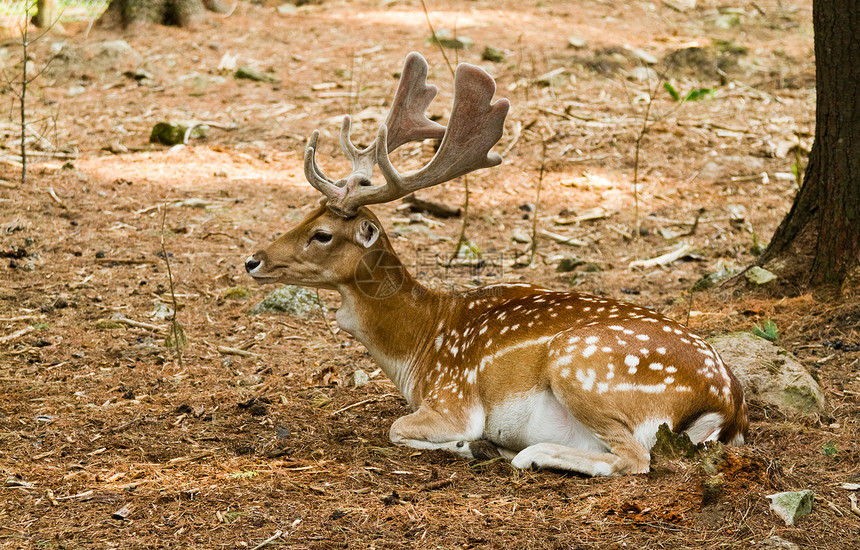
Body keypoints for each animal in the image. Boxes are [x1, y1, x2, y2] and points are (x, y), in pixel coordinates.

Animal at [245, 51, 748, 476]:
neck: (419, 349)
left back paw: (525, 453)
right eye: (305, 214)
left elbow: (397, 428)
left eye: (323, 234)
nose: (252, 260)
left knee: (635, 459)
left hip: (580, 366)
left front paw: (474, 444)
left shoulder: (453, 399)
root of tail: (728, 404)